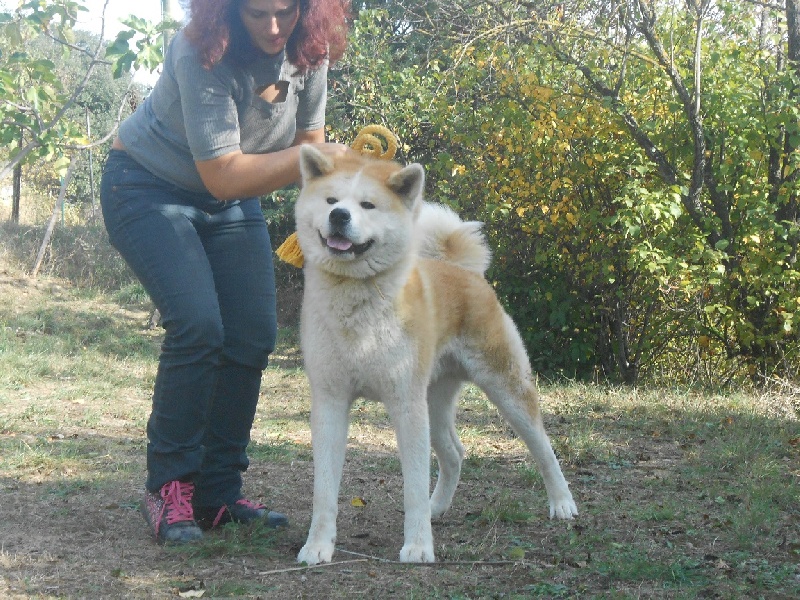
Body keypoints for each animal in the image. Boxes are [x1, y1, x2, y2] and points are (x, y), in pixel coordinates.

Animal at [294, 145, 578, 565]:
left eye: (367, 205)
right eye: (331, 201)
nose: (339, 216)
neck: (357, 304)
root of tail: (462, 271)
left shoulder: (405, 404)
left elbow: (412, 486)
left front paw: (417, 546)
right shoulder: (330, 402)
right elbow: (324, 490)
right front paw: (317, 546)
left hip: (504, 387)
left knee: (543, 446)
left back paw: (562, 502)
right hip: (435, 399)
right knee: (455, 454)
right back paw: (438, 507)